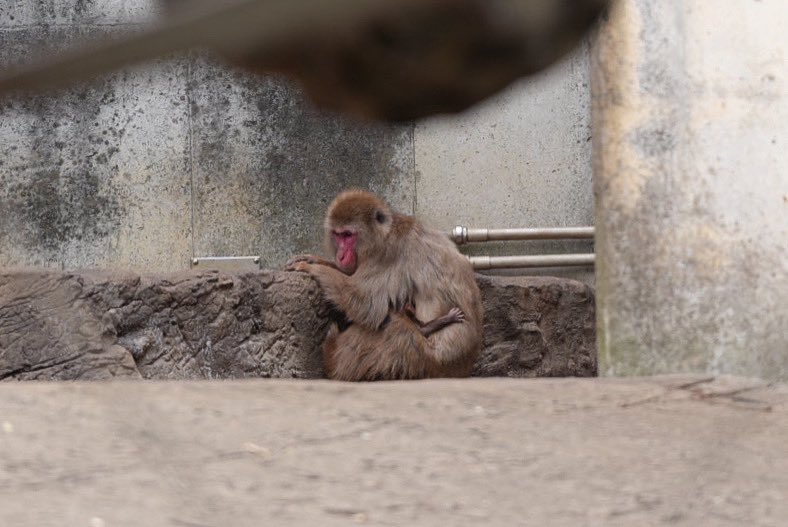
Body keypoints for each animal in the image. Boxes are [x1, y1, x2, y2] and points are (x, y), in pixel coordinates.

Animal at [286, 192, 484, 382]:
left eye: (348, 235)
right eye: (338, 235)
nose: (340, 255)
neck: (384, 233)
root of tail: (461, 370)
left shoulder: (387, 254)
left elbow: (366, 304)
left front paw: (313, 268)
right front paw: (317, 260)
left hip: (420, 358)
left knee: (393, 324)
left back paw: (332, 359)